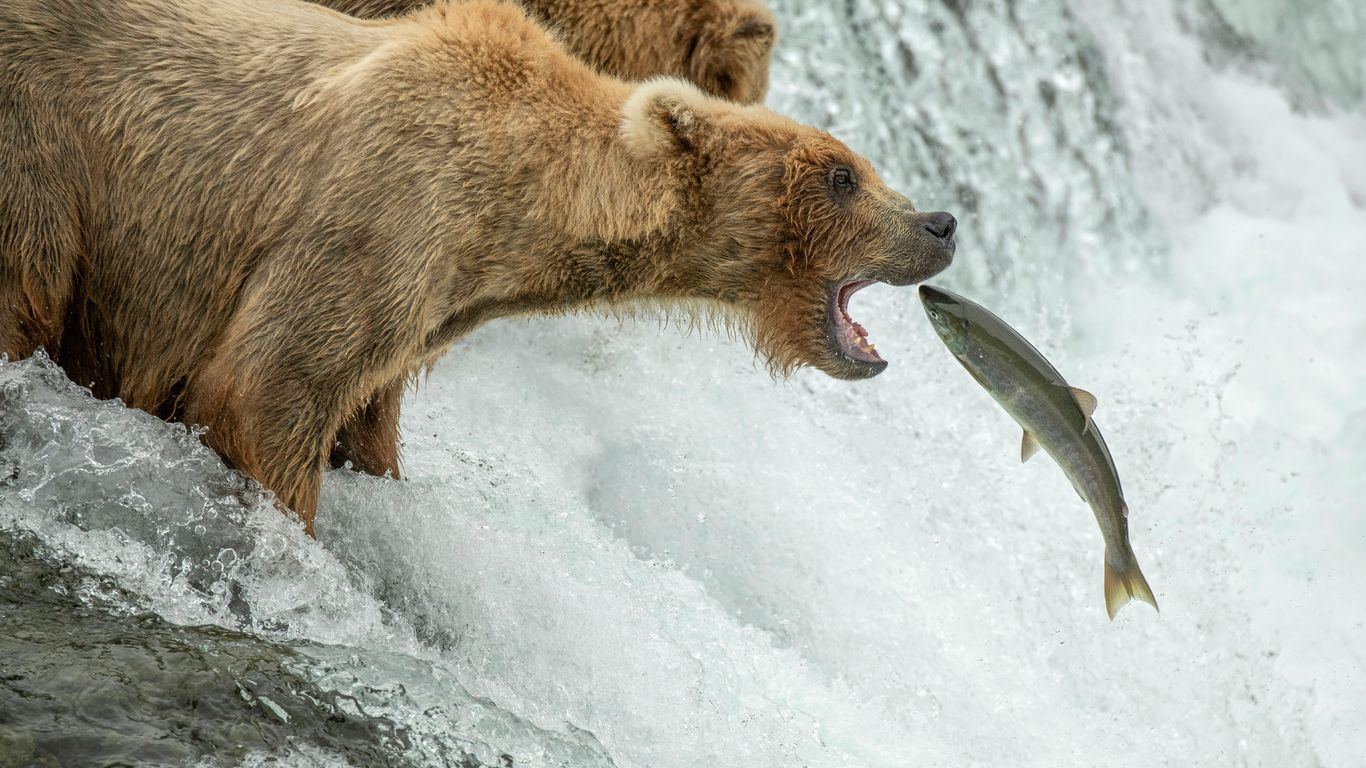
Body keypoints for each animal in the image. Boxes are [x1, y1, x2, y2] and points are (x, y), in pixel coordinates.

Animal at [0, 0, 956, 535]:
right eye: (842, 176)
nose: (941, 223)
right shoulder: (383, 210)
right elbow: (267, 386)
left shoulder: (423, 306)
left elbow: (362, 418)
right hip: (43, 156)